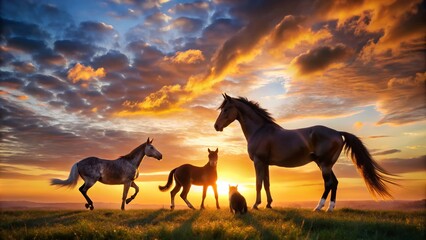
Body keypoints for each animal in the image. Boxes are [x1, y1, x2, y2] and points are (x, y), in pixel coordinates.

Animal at [215, 94, 398, 212]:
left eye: (226, 109)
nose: (216, 126)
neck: (260, 130)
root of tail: (337, 133)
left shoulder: (258, 162)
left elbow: (258, 183)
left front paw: (256, 204)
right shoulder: (265, 163)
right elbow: (267, 183)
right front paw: (268, 204)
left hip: (324, 165)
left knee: (329, 183)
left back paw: (319, 207)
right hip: (326, 164)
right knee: (335, 183)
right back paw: (330, 208)